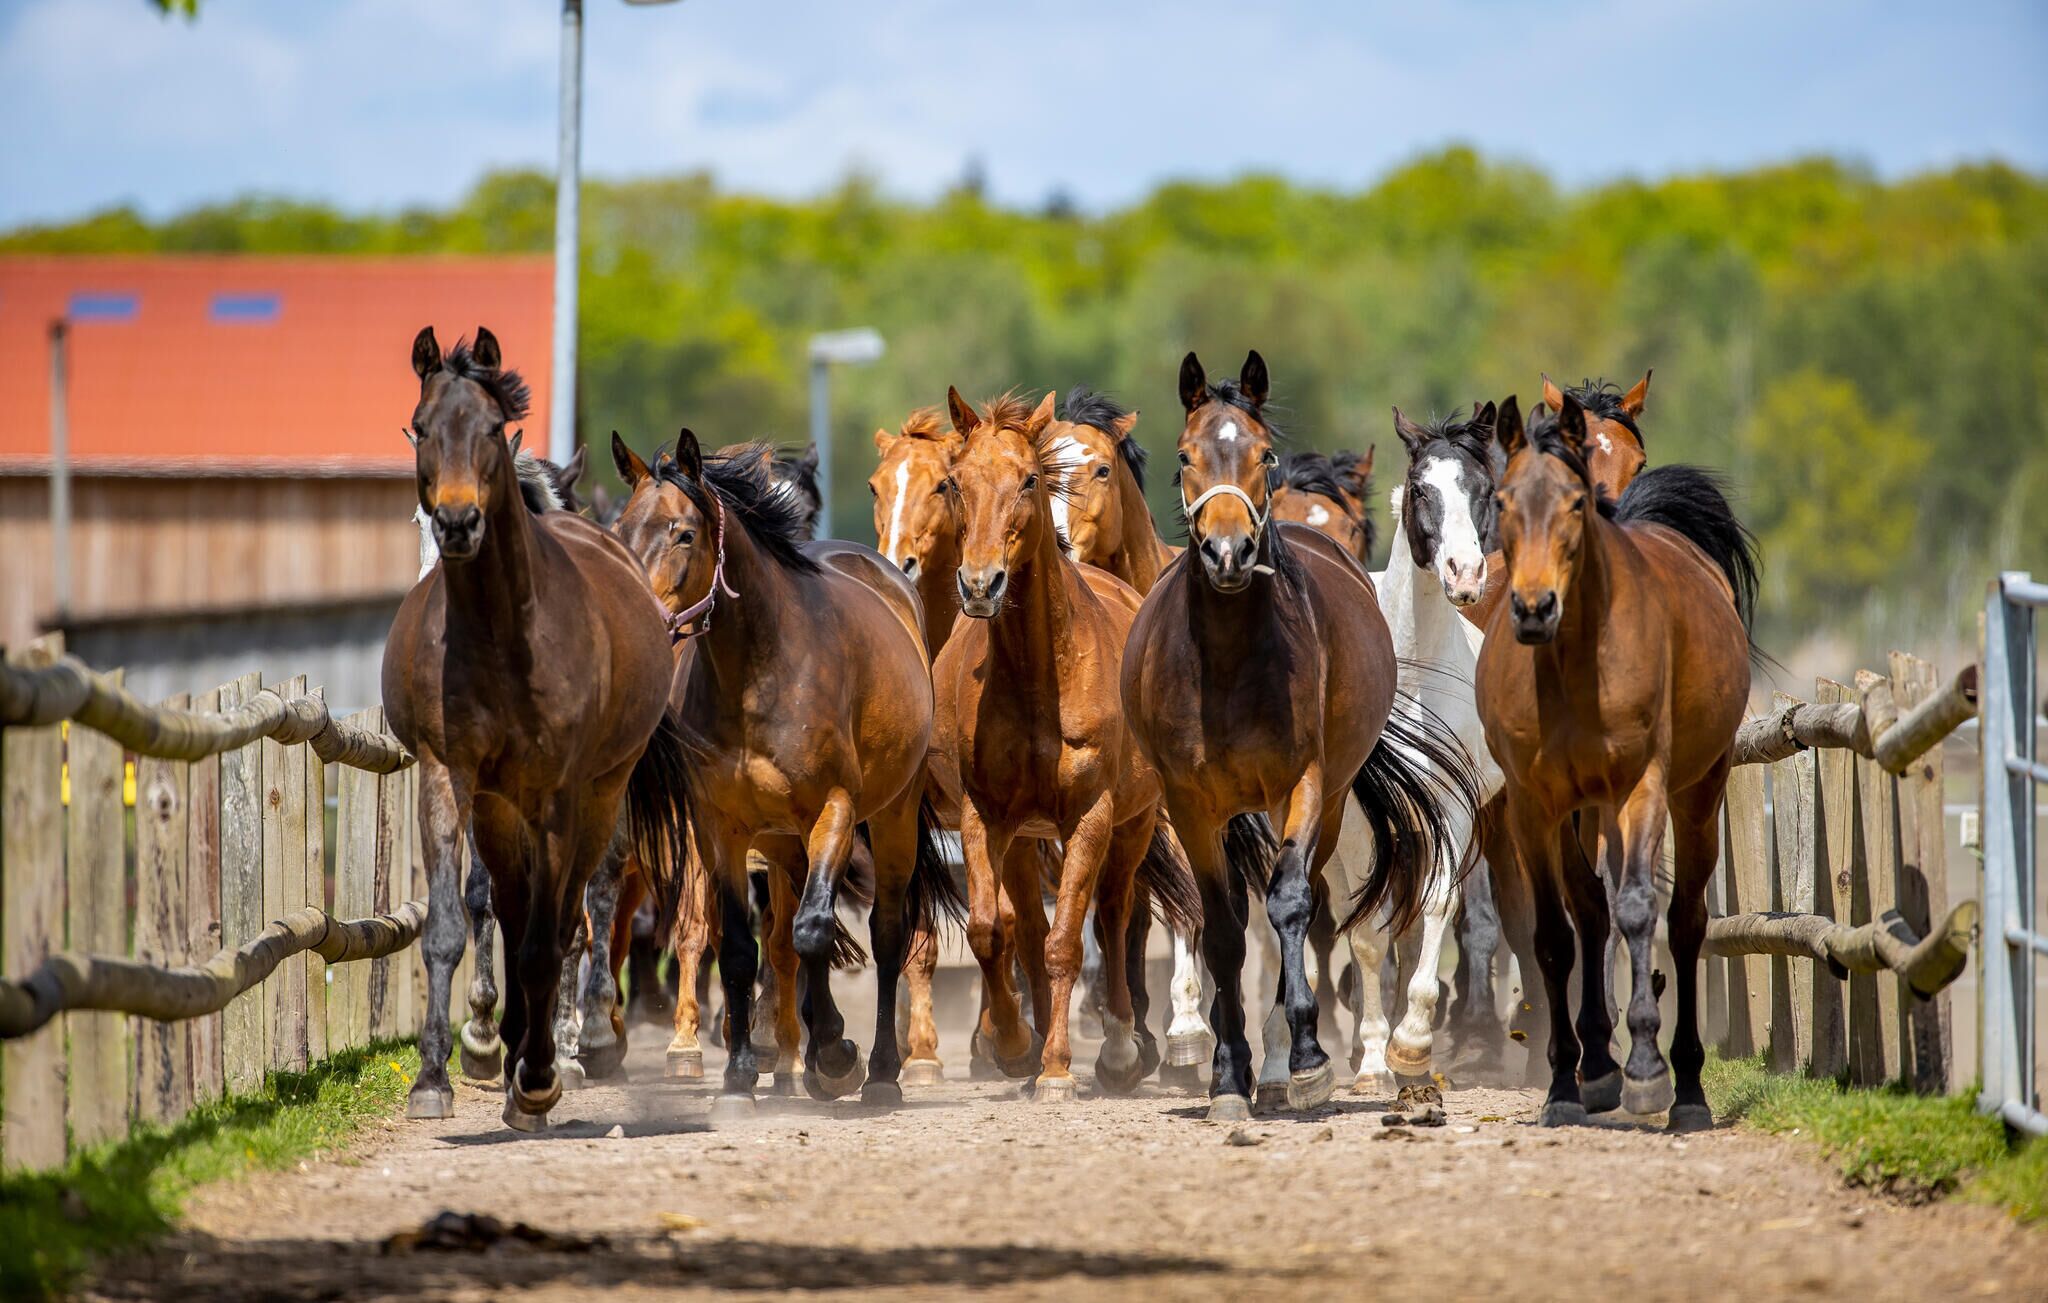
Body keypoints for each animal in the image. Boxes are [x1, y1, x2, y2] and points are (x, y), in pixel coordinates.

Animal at [383, 326, 688, 1132]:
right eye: (421, 427)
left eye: (492, 428)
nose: (457, 525)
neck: (501, 637)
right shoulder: (450, 775)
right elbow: (459, 919)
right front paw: (445, 1068)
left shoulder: (560, 793)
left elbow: (562, 927)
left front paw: (550, 1066)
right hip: (500, 805)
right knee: (519, 906)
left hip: (600, 794)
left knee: (583, 906)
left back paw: (569, 1044)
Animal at [610, 428, 960, 1113]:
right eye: (620, 528)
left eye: (683, 533)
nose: (637, 621)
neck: (760, 667)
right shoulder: (720, 827)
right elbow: (742, 949)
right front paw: (742, 1076)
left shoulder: (835, 808)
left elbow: (816, 931)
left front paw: (838, 1055)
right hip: (783, 842)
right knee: (785, 936)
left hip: (891, 816)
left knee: (883, 932)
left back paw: (880, 1071)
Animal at [926, 388, 1200, 1102]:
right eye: (954, 482)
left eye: (1027, 478)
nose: (981, 584)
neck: (1038, 675)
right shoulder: (986, 817)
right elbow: (992, 932)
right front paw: (1015, 1047)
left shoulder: (1092, 817)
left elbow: (1068, 943)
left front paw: (1057, 1067)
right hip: (1027, 839)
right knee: (1025, 926)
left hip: (1132, 824)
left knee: (1113, 914)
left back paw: (1121, 1049)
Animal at [1122, 349, 1480, 1121]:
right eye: (1186, 455)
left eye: (1263, 454)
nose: (1228, 551)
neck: (1225, 661)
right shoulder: (1192, 804)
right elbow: (1223, 928)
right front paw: (1228, 1073)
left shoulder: (1306, 784)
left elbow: (1289, 903)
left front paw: (1307, 1058)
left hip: (1332, 804)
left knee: (1307, 898)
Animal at [1474, 391, 1756, 1130]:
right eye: (1503, 498)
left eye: (1575, 502)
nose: (1534, 607)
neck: (1573, 666)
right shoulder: (1533, 805)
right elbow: (1555, 933)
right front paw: (1566, 1085)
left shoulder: (1640, 788)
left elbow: (1635, 909)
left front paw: (1647, 1069)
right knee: (1590, 908)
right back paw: (1597, 1065)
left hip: (1697, 794)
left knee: (1684, 922)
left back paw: (1686, 1088)